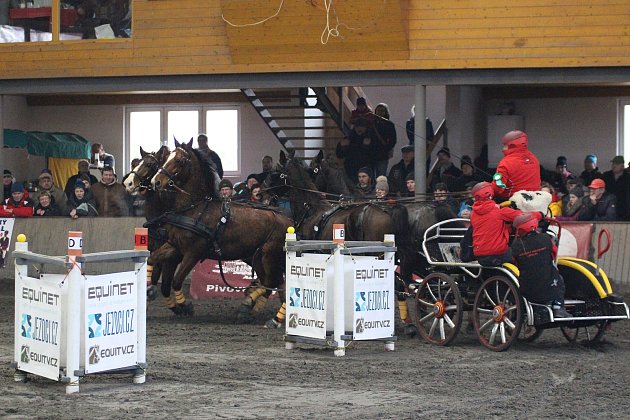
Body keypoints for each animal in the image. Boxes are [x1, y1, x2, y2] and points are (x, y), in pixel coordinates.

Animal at [150, 138, 294, 318]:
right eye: (166, 157)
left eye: (179, 160)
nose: (156, 181)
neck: (195, 209)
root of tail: (287, 219)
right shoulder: (175, 246)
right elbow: (152, 259)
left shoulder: (193, 253)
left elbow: (176, 281)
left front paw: (185, 306)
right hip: (258, 258)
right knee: (276, 283)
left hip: (269, 255)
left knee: (271, 282)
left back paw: (250, 305)